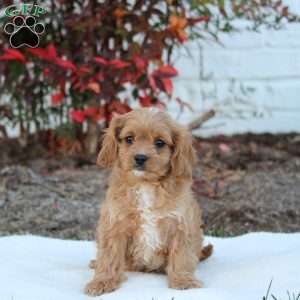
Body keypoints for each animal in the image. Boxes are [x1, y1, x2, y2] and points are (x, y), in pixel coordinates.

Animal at [84, 109, 212, 296]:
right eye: (129, 139)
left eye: (159, 143)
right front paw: (102, 281)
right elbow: (109, 257)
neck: (145, 184)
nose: (140, 157)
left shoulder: (181, 225)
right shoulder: (114, 226)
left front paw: (183, 280)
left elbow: (181, 256)